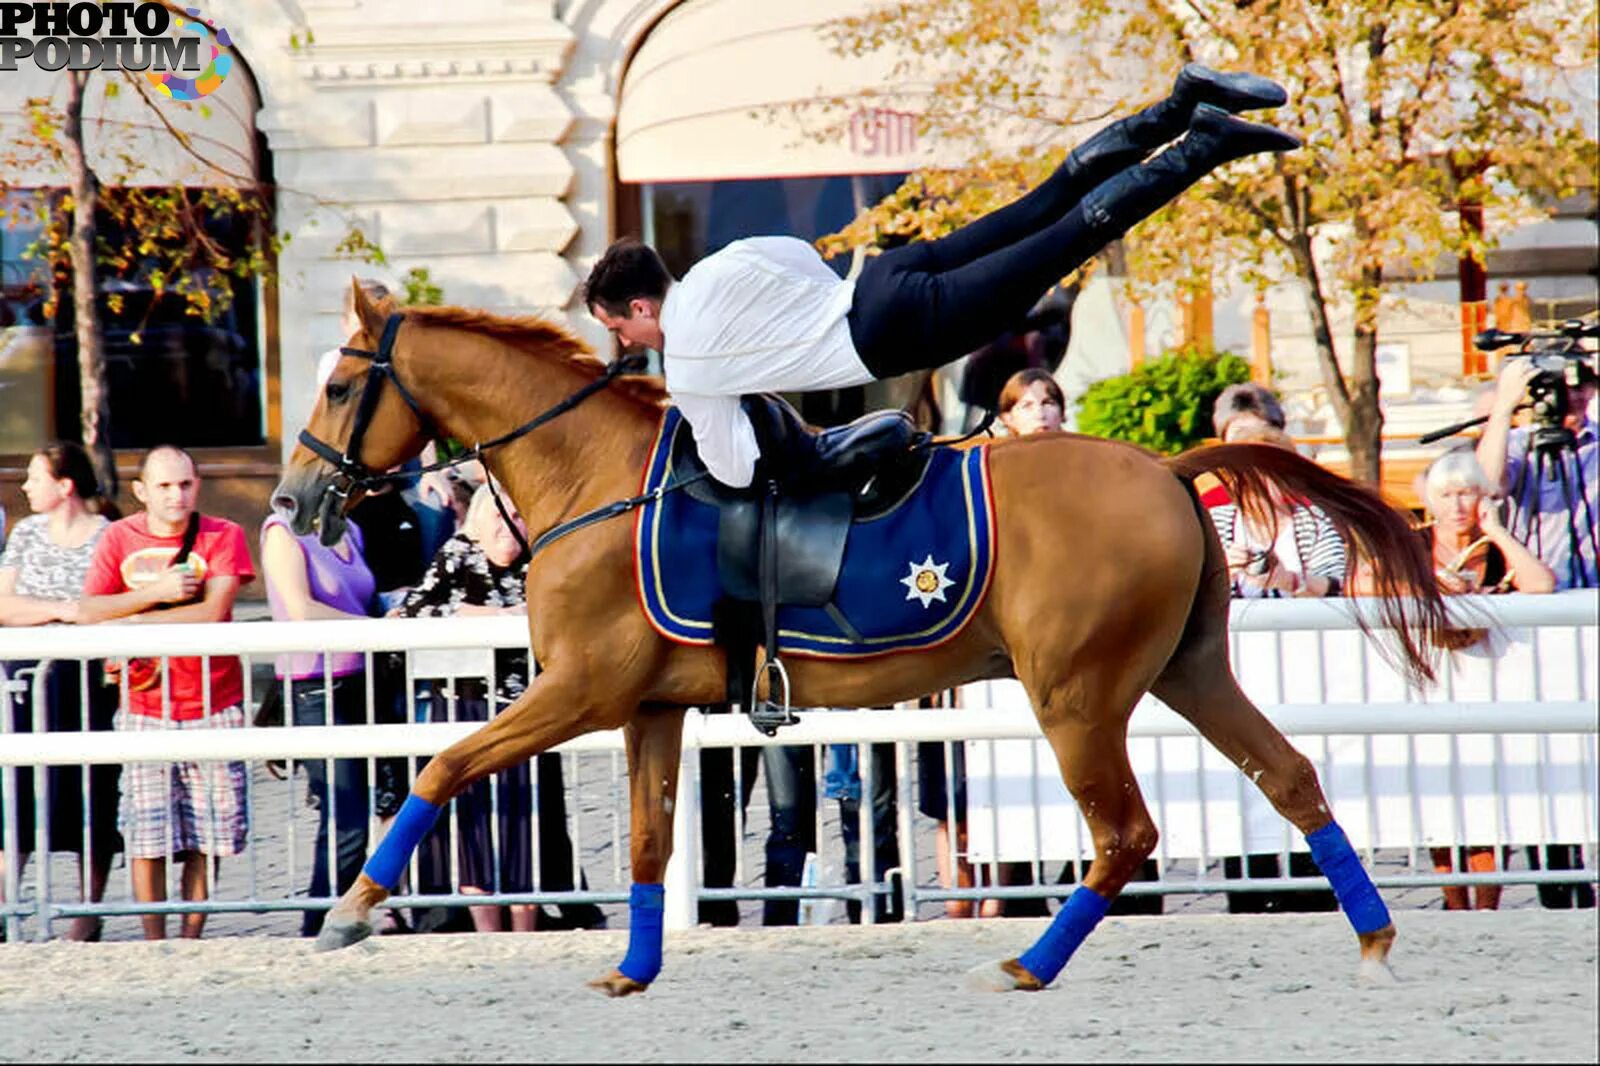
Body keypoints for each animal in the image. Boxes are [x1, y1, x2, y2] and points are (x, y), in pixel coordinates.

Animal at [278, 280, 1452, 985]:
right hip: (1186, 673)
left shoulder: (577, 691)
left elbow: (440, 767)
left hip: (1077, 698)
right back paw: (1375, 938)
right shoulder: (648, 708)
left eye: (335, 384)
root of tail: (1164, 467)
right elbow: (653, 841)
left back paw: (1028, 964)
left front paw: (353, 908)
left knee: (1126, 833)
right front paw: (635, 969)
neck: (601, 478)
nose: (292, 502)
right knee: (1289, 776)